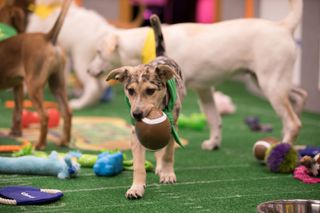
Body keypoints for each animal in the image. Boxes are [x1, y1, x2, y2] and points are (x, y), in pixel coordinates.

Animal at [0, 0, 72, 149]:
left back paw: (40, 144)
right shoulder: (18, 86)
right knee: (67, 112)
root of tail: (47, 37)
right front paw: (15, 132)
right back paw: (64, 141)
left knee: (44, 116)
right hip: (57, 85)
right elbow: (17, 112)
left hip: (34, 87)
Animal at [89, 0, 306, 150]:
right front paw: (214, 143)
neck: (147, 42)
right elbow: (214, 119)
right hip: (267, 82)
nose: (88, 71)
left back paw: (284, 146)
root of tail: (282, 26)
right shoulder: (205, 89)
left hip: (270, 84)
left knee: (293, 121)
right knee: (300, 96)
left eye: (98, 52)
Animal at [105, 15, 184, 200]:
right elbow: (139, 165)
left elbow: (168, 153)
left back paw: (162, 168)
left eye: (150, 91)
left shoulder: (172, 128)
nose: (136, 114)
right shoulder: (136, 134)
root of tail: (162, 56)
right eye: (130, 90)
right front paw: (136, 188)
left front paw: (167, 174)